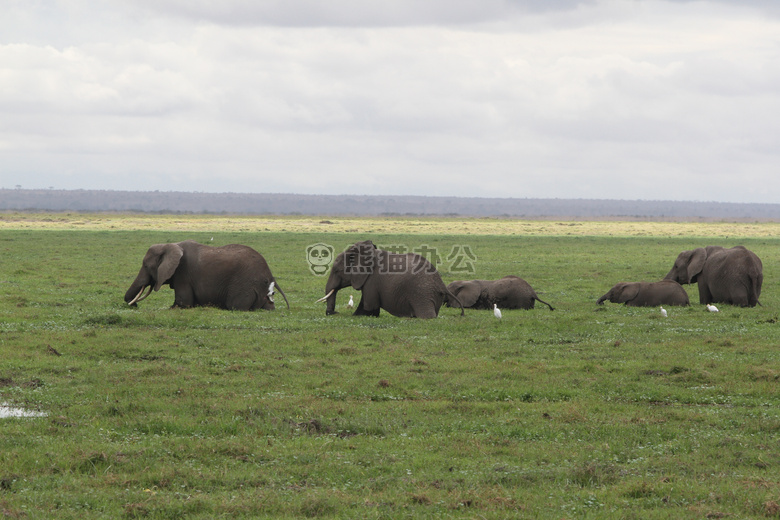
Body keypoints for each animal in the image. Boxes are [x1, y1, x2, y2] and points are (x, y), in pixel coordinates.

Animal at [123, 241, 288, 310]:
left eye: (146, 266)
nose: (134, 305)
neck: (170, 245)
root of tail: (270, 275)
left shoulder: (183, 273)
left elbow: (183, 303)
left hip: (244, 285)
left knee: (235, 306)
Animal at [316, 241, 464, 320]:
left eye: (336, 271)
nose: (333, 313)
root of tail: (441, 284)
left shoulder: (372, 279)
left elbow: (368, 306)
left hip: (422, 293)